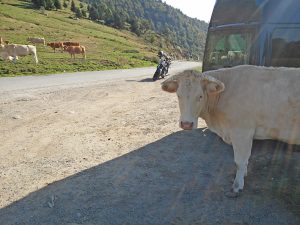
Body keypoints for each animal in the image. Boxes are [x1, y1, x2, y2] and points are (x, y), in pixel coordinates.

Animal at [162, 64, 300, 193]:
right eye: (178, 95)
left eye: (200, 96)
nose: (186, 124)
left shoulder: (242, 131)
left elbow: (240, 160)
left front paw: (238, 185)